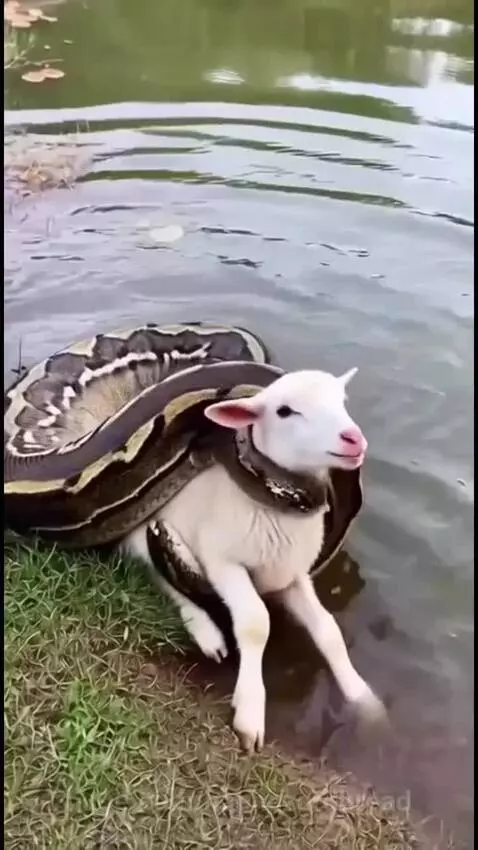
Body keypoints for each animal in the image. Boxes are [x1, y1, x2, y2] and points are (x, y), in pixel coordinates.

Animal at [121, 367, 387, 753]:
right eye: (284, 411)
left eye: (343, 401)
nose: (353, 439)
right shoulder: (223, 562)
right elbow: (255, 623)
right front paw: (250, 713)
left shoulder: (292, 572)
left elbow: (328, 631)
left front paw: (365, 702)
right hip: (146, 537)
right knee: (160, 578)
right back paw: (207, 633)